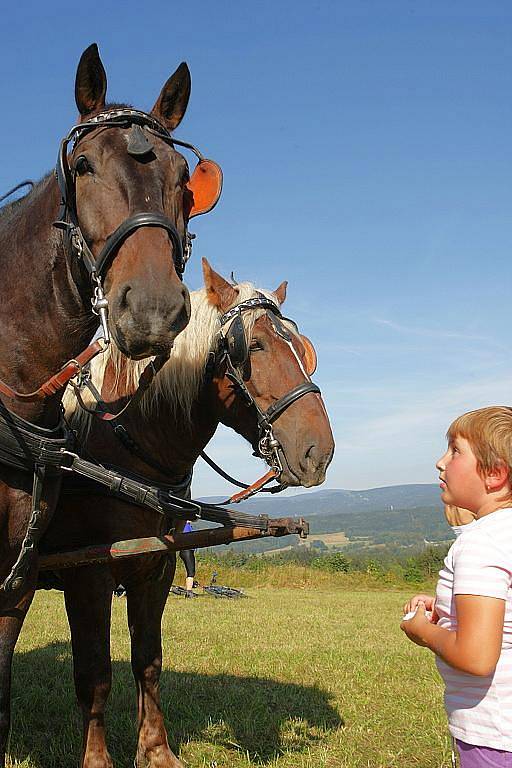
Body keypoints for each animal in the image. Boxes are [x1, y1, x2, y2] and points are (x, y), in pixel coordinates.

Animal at [40, 260, 336, 768]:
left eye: (302, 348)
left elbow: (148, 662)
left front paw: (156, 750)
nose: (318, 452)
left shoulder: (156, 568)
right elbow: (94, 676)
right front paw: (97, 759)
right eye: (253, 346)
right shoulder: (87, 575)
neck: (120, 444)